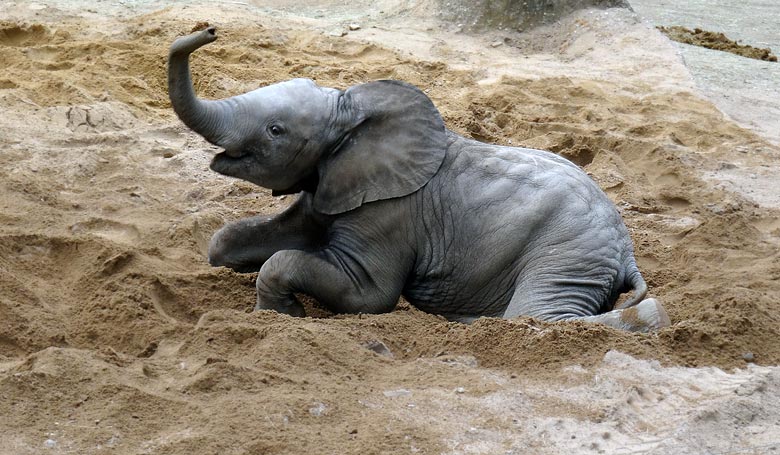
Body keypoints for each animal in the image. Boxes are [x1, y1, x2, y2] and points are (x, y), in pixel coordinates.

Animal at [169, 26, 672, 334]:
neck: (352, 111)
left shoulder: (391, 214)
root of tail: (626, 250)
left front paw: (284, 315)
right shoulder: (334, 185)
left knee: (534, 316)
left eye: (276, 130)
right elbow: (233, 239)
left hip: (568, 254)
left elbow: (365, 294)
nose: (209, 31)